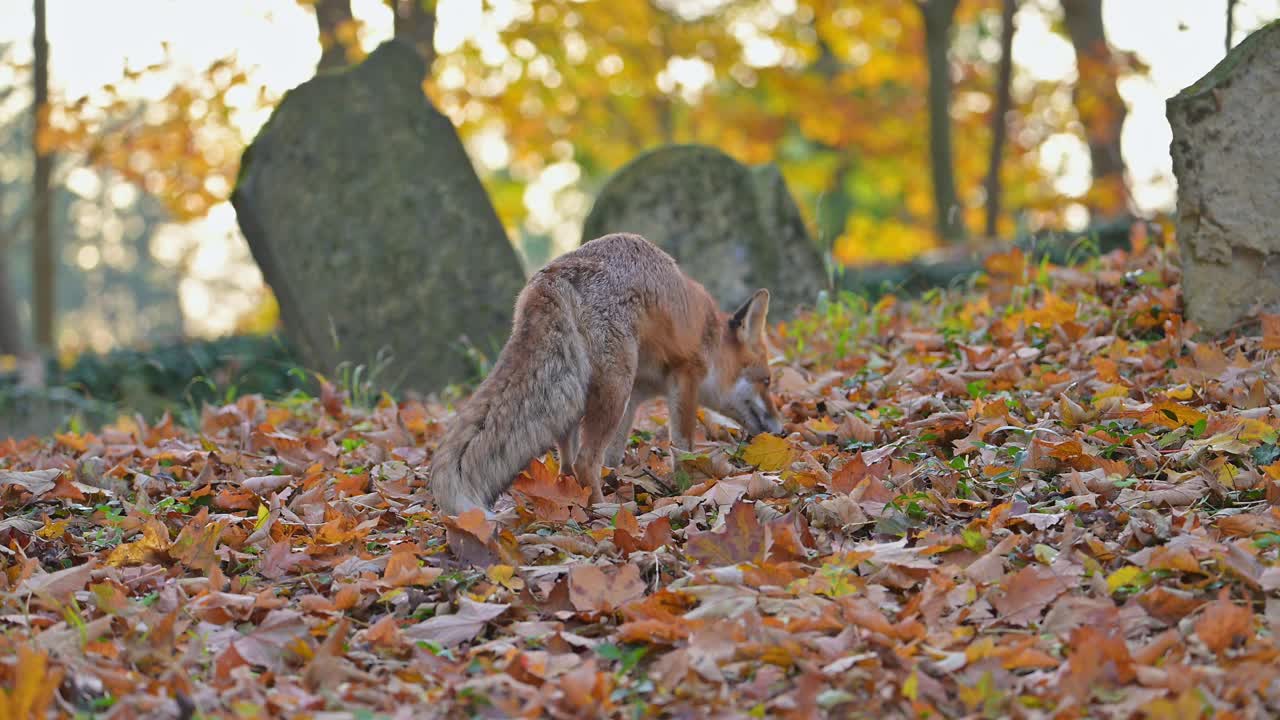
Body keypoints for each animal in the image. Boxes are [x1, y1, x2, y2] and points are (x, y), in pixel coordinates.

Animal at [430, 233, 783, 512]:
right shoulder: (684, 375)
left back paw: (573, 498)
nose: (781, 430)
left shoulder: (638, 393)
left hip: (587, 395)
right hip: (614, 388)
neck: (709, 332)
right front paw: (688, 486)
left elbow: (614, 455)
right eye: (766, 381)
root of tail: (554, 274)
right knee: (585, 460)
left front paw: (620, 479)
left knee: (569, 462)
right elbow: (683, 446)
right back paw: (604, 511)